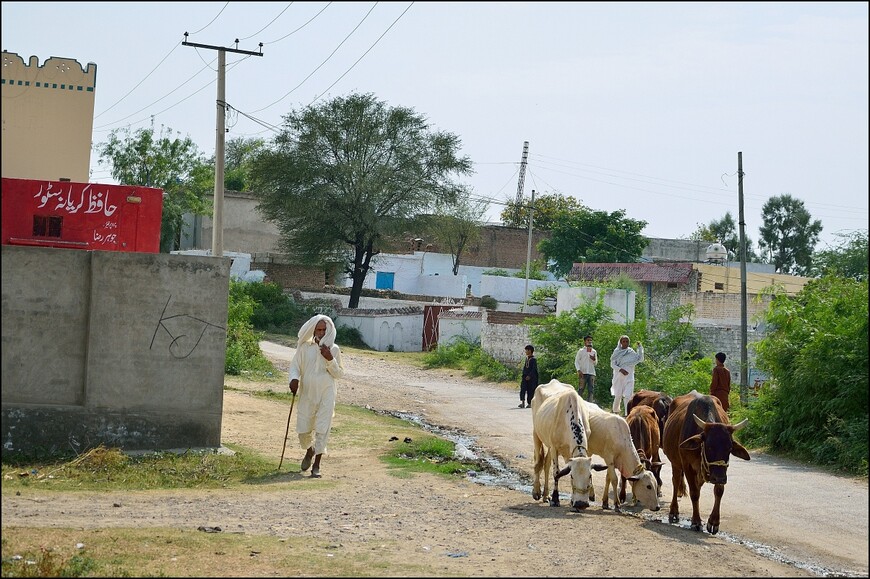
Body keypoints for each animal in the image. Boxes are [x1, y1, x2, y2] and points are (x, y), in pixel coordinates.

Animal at [528, 380, 608, 512]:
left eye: (590, 476)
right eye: (572, 477)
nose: (581, 504)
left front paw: (572, 501)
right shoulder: (555, 447)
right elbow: (557, 473)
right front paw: (555, 499)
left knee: (546, 464)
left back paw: (546, 495)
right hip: (536, 434)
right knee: (538, 463)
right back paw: (537, 492)